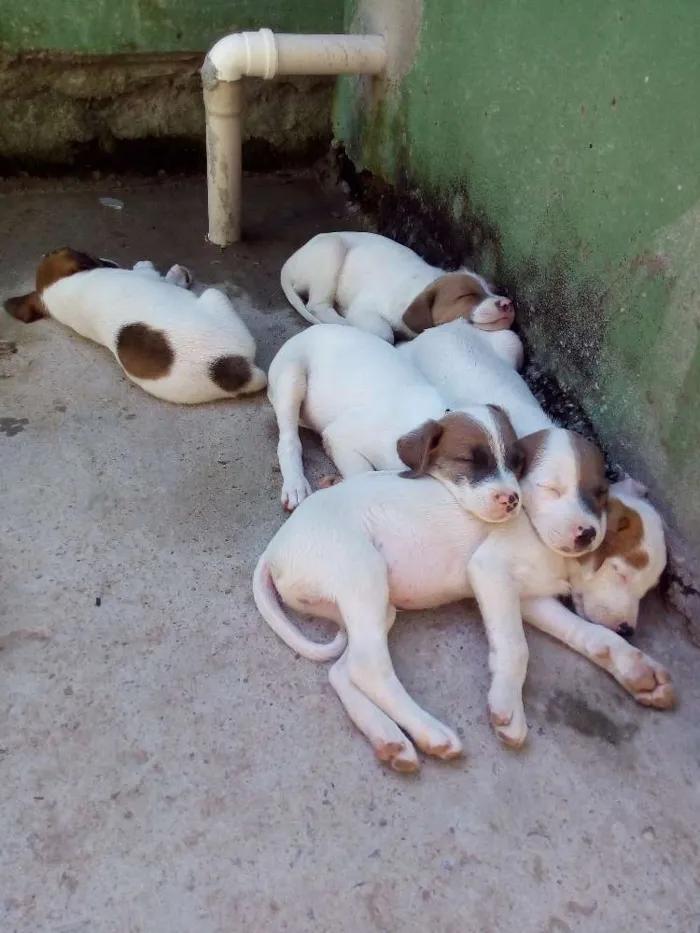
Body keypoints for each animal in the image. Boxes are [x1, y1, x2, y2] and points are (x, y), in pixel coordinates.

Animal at [3, 248, 266, 404]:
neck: (59, 289)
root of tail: (230, 368)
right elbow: (161, 277)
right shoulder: (151, 279)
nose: (110, 260)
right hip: (215, 296)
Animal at [253, 466, 672, 772]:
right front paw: (507, 706)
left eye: (647, 587)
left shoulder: (532, 599)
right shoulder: (490, 571)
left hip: (375, 605)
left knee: (346, 669)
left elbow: (590, 635)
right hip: (363, 573)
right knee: (369, 667)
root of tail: (274, 550)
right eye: (621, 572)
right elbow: (516, 648)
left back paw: (390, 740)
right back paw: (430, 733)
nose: (629, 629)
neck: (550, 539)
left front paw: (634, 666)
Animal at [278, 231, 516, 348]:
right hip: (332, 249)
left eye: (492, 290)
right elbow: (385, 334)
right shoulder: (365, 308)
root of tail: (290, 262)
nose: (508, 304)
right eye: (467, 295)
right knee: (317, 305)